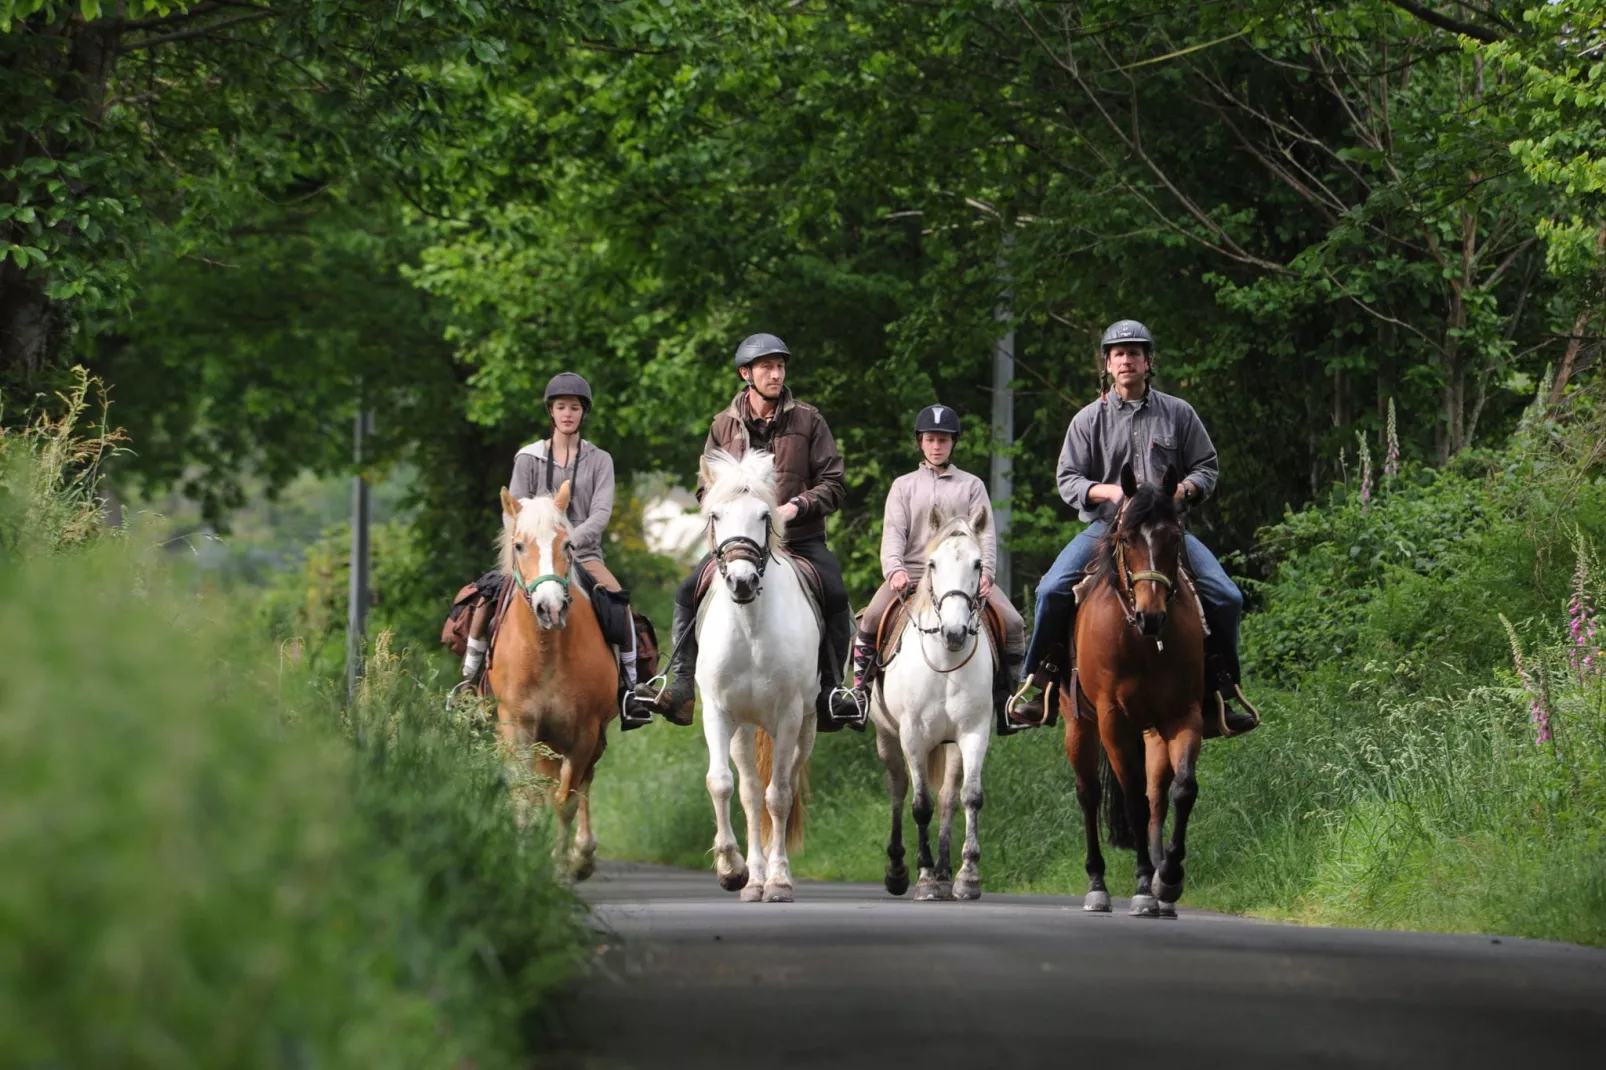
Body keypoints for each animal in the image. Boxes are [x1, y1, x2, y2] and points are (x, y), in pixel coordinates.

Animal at [485, 481, 616, 873]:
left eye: (568, 544)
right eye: (518, 545)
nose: (551, 608)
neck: (546, 654)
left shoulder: (585, 731)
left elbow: (566, 798)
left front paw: (559, 866)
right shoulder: (518, 726)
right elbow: (525, 795)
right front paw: (526, 860)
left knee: (583, 781)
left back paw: (583, 854)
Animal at [693, 446, 815, 893]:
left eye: (765, 515)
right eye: (715, 515)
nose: (742, 581)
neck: (750, 626)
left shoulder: (789, 715)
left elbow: (778, 796)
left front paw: (779, 880)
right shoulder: (718, 712)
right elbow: (722, 784)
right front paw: (732, 868)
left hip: (804, 726)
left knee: (783, 786)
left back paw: (770, 877)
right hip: (744, 728)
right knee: (748, 791)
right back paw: (753, 878)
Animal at [873, 507, 995, 899]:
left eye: (977, 564)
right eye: (932, 564)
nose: (954, 632)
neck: (945, 661)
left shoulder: (973, 733)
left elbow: (970, 797)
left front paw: (967, 875)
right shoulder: (912, 735)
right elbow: (920, 804)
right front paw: (924, 877)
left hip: (949, 744)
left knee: (948, 797)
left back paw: (944, 871)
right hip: (888, 738)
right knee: (899, 789)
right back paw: (899, 869)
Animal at [1066, 459, 1207, 918]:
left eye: (1174, 537)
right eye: (1126, 538)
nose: (1151, 616)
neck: (1143, 643)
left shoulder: (1184, 714)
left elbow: (1182, 790)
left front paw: (1169, 878)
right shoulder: (1113, 720)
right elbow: (1130, 801)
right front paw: (1145, 885)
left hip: (1152, 733)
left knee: (1157, 794)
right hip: (1079, 724)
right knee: (1089, 794)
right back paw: (1097, 884)